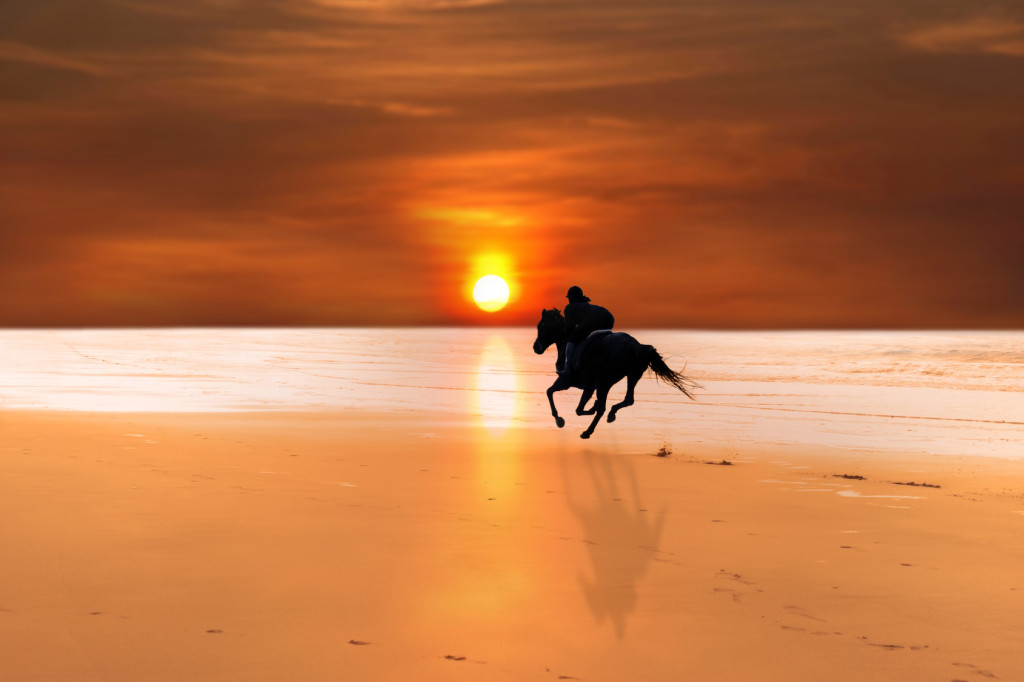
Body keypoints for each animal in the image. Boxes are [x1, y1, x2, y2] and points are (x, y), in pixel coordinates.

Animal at [536, 307, 696, 438]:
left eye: (541, 325)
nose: (535, 347)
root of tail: (637, 346)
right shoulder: (589, 387)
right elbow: (578, 409)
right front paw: (591, 407)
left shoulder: (566, 381)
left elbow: (550, 392)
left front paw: (559, 419)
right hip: (631, 376)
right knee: (628, 400)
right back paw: (611, 414)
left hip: (604, 382)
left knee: (603, 408)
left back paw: (587, 432)